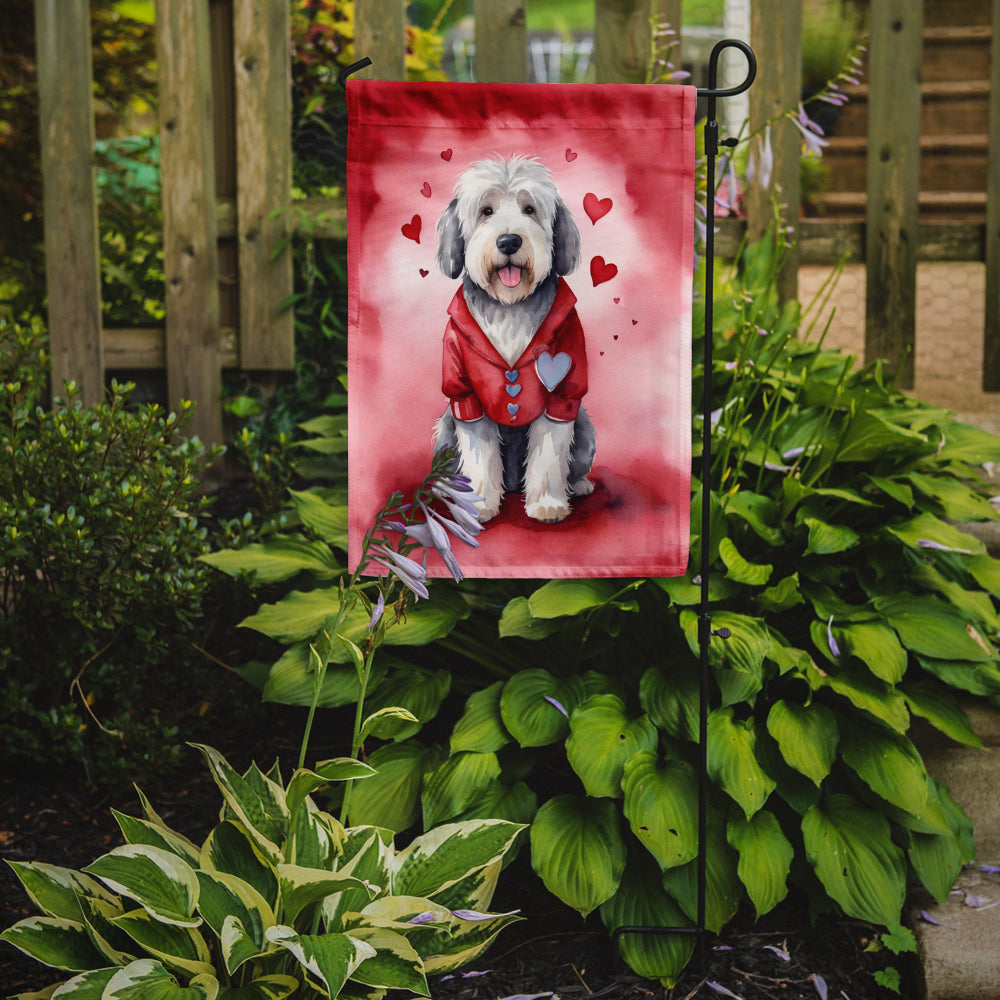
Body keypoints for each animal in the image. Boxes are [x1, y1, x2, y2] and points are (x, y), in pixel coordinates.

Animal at [436, 156, 592, 524]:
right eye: (486, 210)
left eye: (530, 209)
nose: (508, 241)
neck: (510, 306)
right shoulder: (465, 395)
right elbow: (479, 455)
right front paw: (478, 505)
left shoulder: (562, 393)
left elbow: (549, 454)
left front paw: (547, 503)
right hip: (446, 428)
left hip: (584, 425)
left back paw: (578, 485)